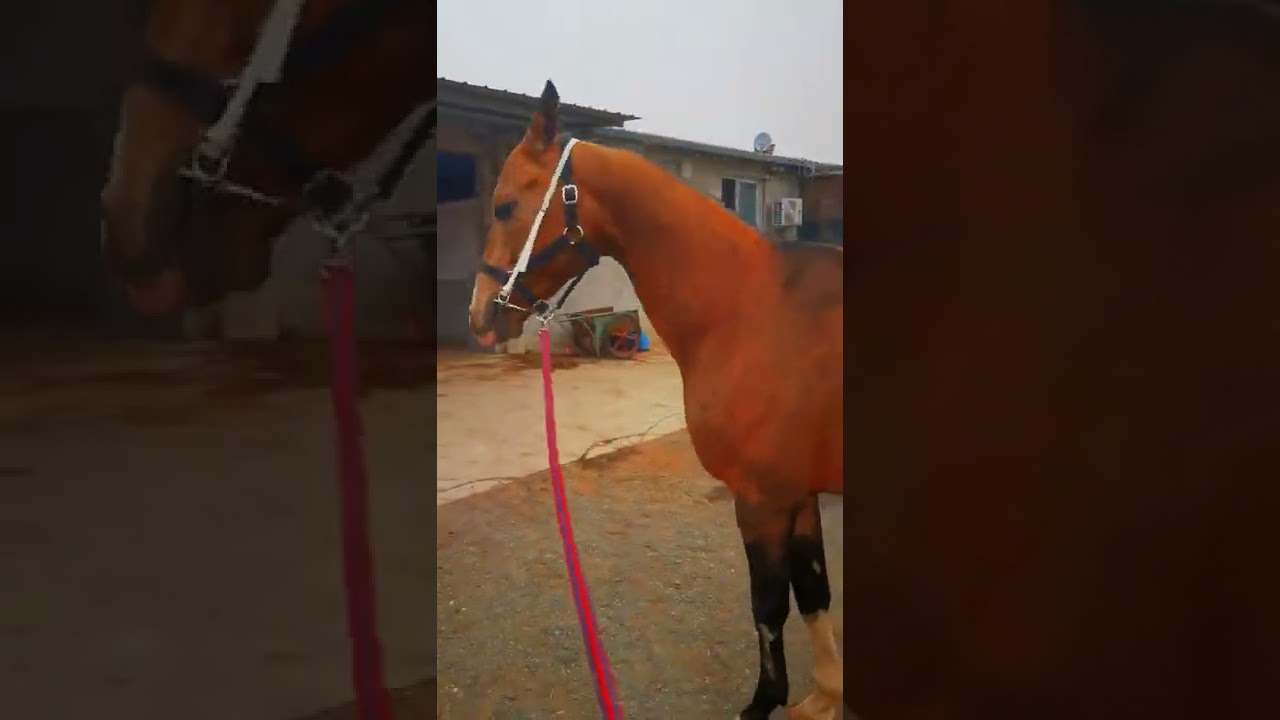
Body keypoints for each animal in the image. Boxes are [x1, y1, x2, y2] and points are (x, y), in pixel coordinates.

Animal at [467, 81, 846, 719]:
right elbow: (813, 589)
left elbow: (769, 605)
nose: (478, 317)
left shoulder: (762, 499)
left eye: (504, 206)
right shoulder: (798, 495)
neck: (750, 309)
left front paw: (765, 703)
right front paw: (826, 695)